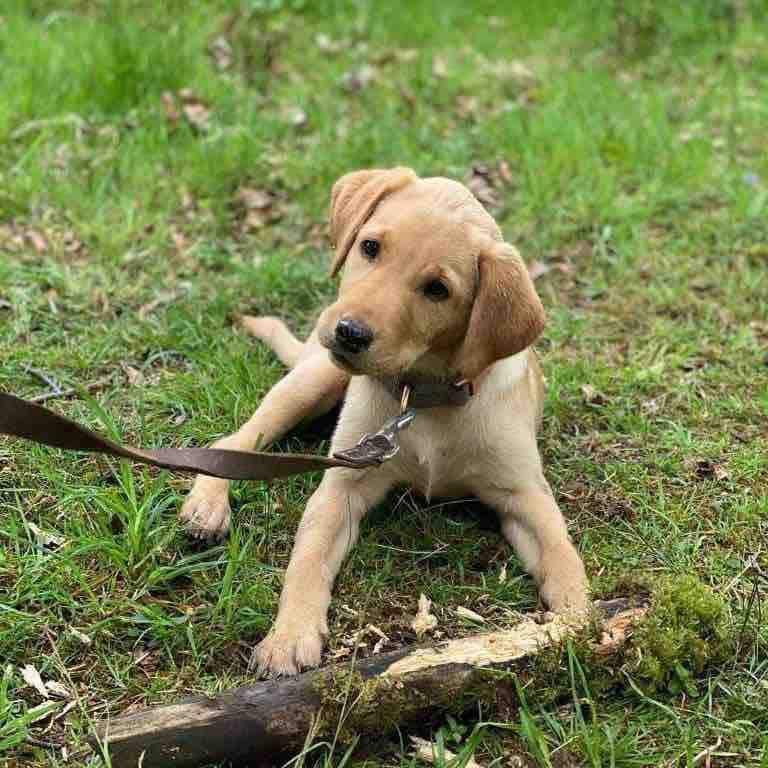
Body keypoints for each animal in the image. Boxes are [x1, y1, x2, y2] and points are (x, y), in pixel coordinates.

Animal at [180, 166, 588, 672]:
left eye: (438, 289)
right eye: (370, 246)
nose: (349, 333)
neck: (425, 398)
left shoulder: (524, 493)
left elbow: (562, 553)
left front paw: (578, 621)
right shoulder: (342, 484)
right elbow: (307, 559)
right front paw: (288, 637)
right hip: (315, 377)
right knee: (237, 438)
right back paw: (209, 503)